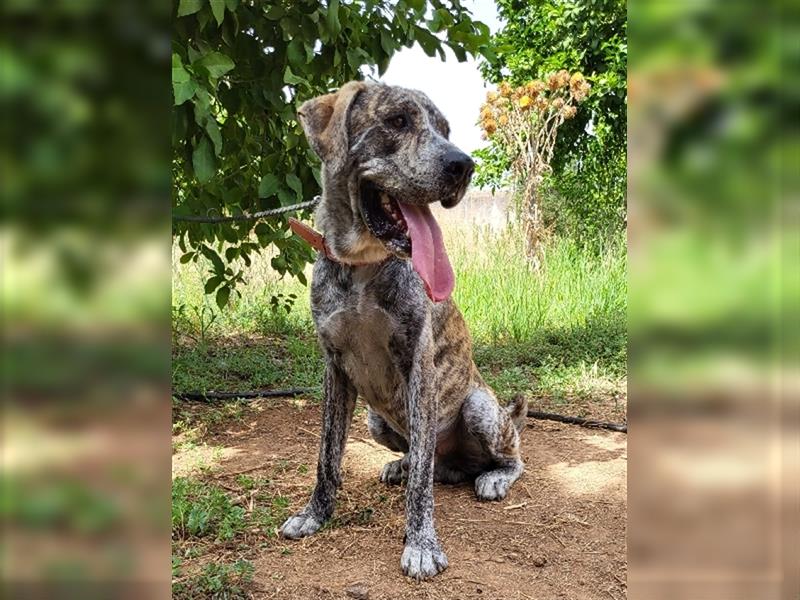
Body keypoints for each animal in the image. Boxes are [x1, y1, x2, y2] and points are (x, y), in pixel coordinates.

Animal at [278, 82, 528, 580]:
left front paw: (421, 545)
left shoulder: (418, 366)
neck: (362, 264)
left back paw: (492, 477)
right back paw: (406, 463)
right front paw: (314, 515)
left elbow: (421, 490)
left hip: (480, 408)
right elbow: (326, 457)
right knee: (426, 459)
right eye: (397, 121)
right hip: (376, 420)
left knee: (507, 456)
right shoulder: (335, 369)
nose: (463, 165)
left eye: (446, 129)